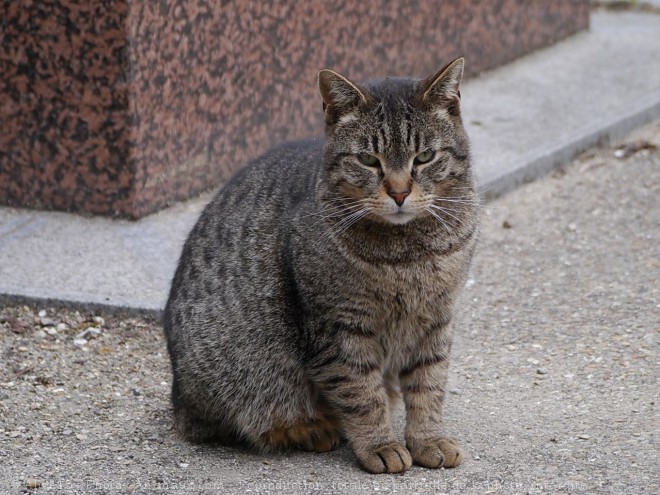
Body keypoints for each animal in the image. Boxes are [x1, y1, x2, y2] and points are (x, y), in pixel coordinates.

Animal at [162, 56, 476, 474]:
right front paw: (380, 445)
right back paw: (314, 429)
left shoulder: (436, 317)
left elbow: (429, 384)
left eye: (424, 157)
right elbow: (362, 394)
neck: (407, 254)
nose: (399, 193)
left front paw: (427, 439)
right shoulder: (339, 328)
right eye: (368, 160)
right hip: (248, 368)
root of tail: (178, 399)